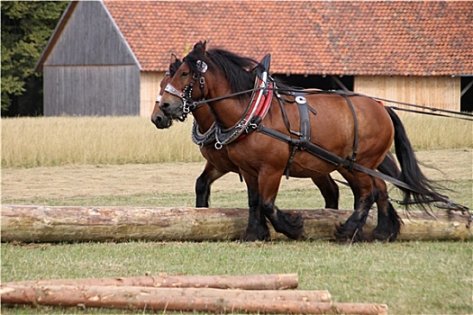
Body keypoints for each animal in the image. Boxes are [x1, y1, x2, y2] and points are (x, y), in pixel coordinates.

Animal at [151, 55, 340, 210]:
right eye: (161, 84)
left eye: (180, 78)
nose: (157, 117)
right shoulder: (219, 165)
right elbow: (201, 184)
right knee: (332, 191)